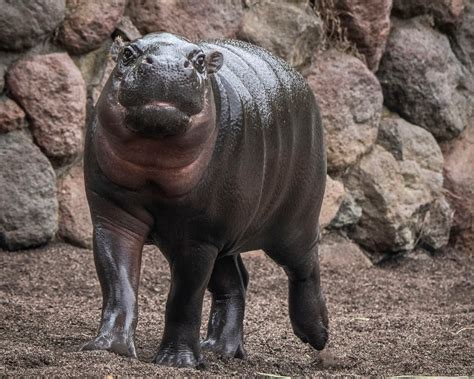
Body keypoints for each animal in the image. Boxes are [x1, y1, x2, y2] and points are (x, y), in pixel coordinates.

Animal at [82, 31, 326, 370]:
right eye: (128, 53)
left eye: (199, 60)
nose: (167, 66)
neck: (153, 166)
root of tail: (298, 78)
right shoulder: (114, 217)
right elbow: (118, 282)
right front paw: (108, 348)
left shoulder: (196, 238)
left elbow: (184, 299)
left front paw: (176, 362)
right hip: (225, 232)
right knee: (235, 283)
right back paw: (219, 349)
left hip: (293, 223)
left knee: (305, 267)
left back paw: (317, 337)